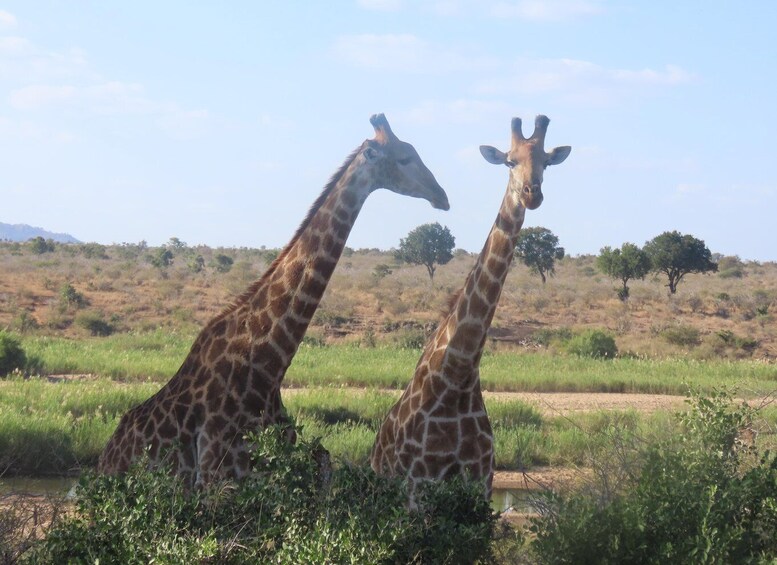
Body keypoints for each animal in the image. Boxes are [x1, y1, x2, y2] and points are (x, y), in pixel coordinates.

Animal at [370, 115, 570, 501]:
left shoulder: (480, 480)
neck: (457, 376)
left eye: (547, 163)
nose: (532, 194)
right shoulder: (417, 483)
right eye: (510, 161)